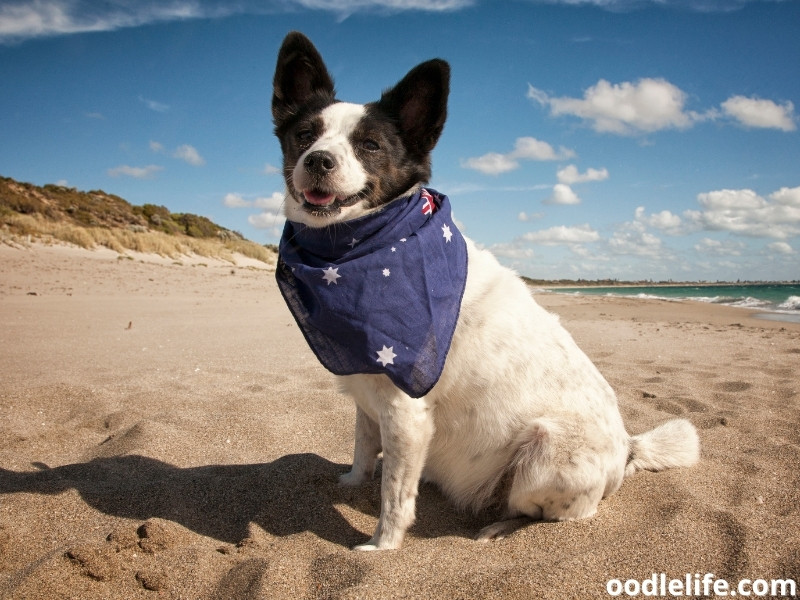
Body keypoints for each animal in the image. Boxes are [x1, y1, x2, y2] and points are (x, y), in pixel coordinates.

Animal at [272, 30, 696, 552]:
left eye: (370, 145)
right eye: (304, 135)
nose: (318, 161)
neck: (358, 248)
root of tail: (629, 448)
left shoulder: (406, 413)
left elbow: (394, 493)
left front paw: (382, 547)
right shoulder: (367, 398)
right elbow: (363, 449)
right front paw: (350, 483)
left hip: (544, 455)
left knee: (548, 516)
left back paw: (497, 526)